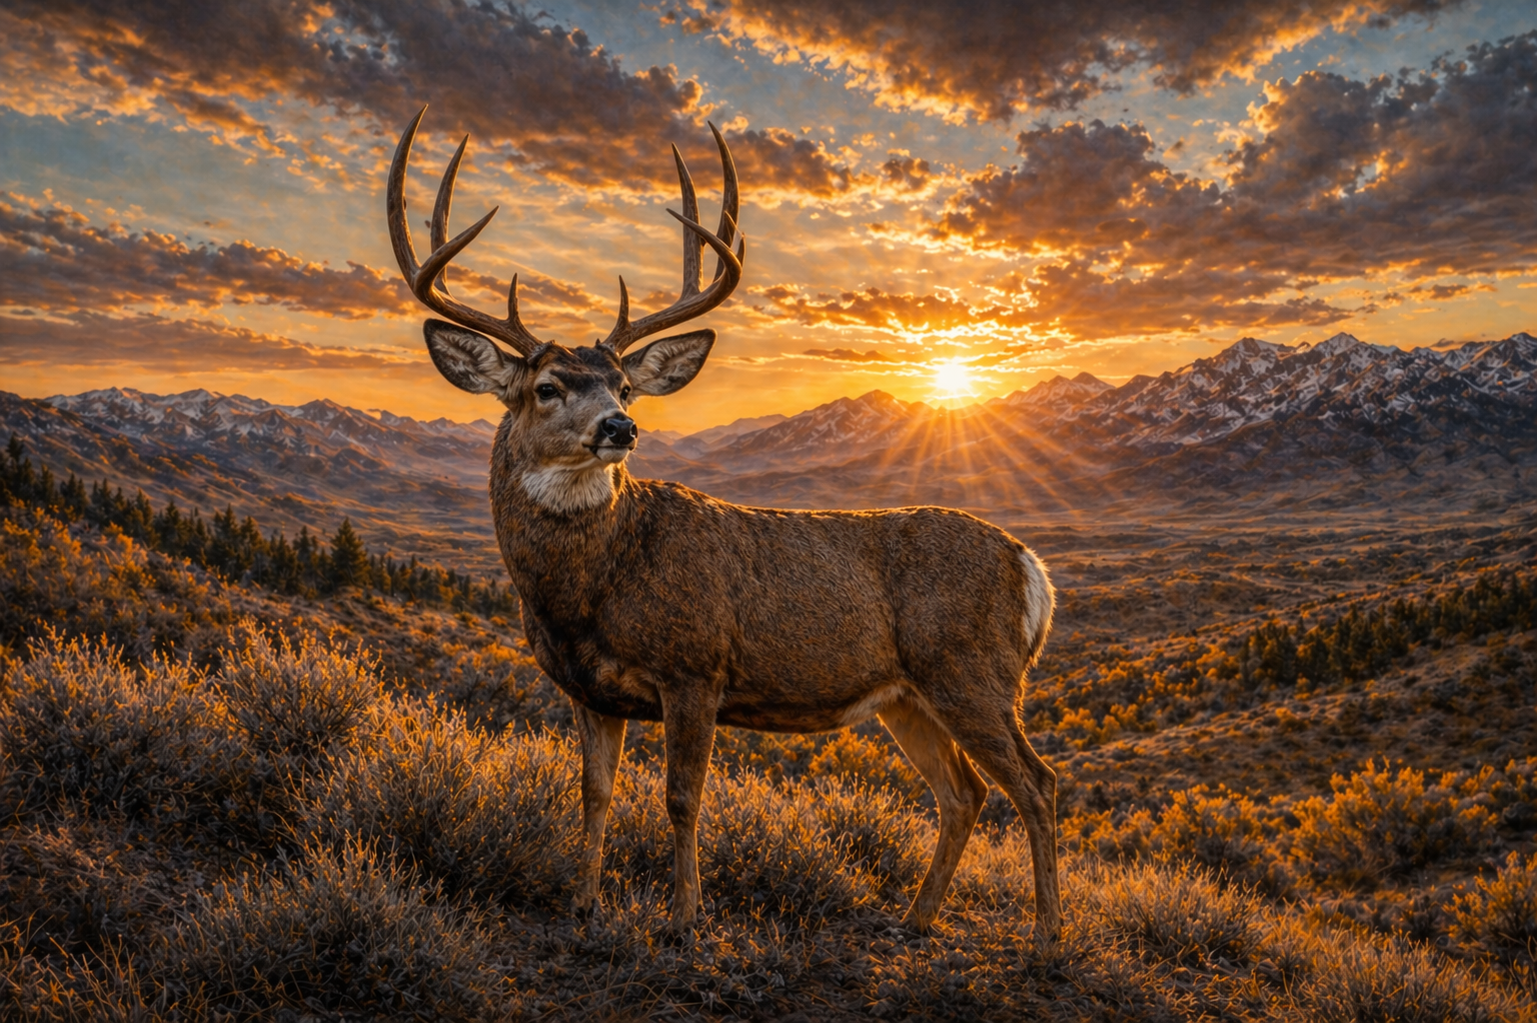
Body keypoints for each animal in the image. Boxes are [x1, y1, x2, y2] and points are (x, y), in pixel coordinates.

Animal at [384, 107, 1062, 943]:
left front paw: (683, 920)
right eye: (546, 387)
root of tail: (1029, 565)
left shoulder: (695, 665)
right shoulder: (587, 690)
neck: (589, 589)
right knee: (963, 790)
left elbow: (682, 797)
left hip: (973, 669)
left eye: (625, 386)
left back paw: (1045, 936)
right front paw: (582, 904)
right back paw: (913, 919)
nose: (619, 428)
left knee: (1036, 782)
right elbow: (593, 792)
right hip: (908, 695)